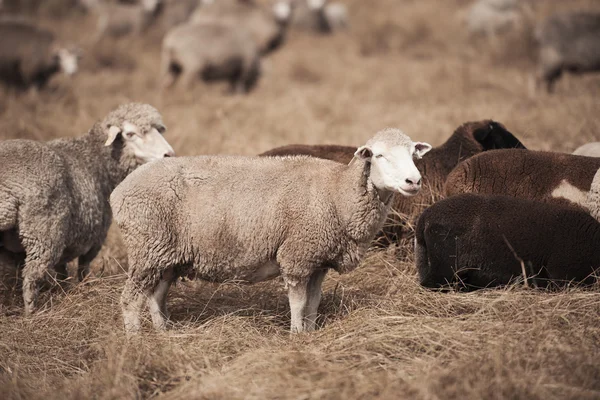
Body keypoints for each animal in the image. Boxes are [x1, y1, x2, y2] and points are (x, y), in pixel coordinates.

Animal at [0, 103, 175, 316]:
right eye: (130, 134)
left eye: (158, 130)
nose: (168, 154)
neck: (95, 158)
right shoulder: (95, 238)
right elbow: (83, 268)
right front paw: (84, 287)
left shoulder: (66, 240)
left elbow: (63, 271)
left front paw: (65, 290)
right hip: (43, 232)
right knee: (31, 277)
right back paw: (32, 313)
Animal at [111, 128, 432, 334]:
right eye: (379, 156)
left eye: (413, 155)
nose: (413, 181)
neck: (337, 192)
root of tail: (119, 192)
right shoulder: (297, 255)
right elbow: (298, 304)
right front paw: (295, 337)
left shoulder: (317, 260)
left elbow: (313, 303)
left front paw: (310, 334)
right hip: (146, 247)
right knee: (130, 299)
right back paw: (136, 340)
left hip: (165, 254)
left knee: (155, 296)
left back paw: (163, 334)